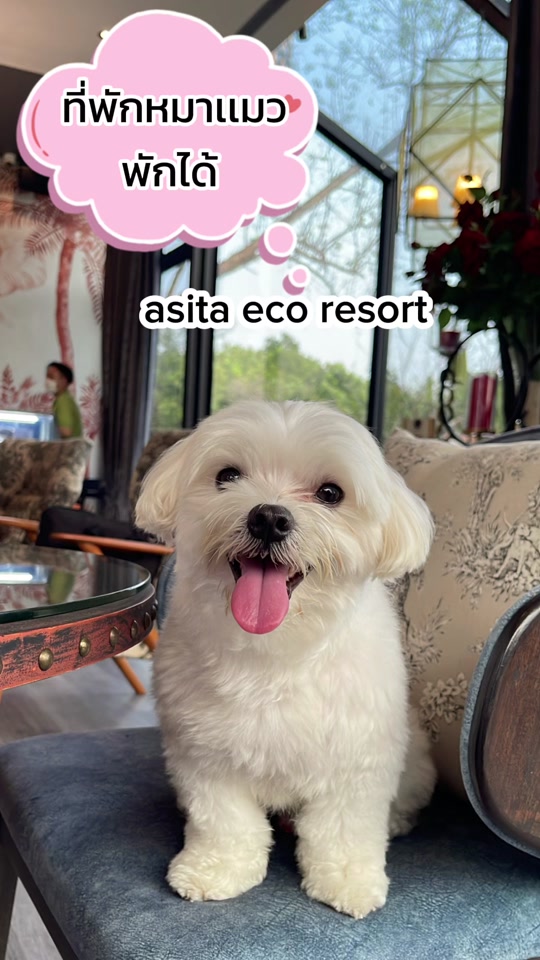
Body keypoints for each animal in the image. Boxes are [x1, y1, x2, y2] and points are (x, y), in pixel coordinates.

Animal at [136, 400, 436, 919]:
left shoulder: (357, 758)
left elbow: (345, 828)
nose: (268, 518)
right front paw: (216, 868)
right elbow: (225, 821)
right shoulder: (205, 754)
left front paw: (348, 878)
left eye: (331, 493)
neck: (277, 648)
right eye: (228, 475)